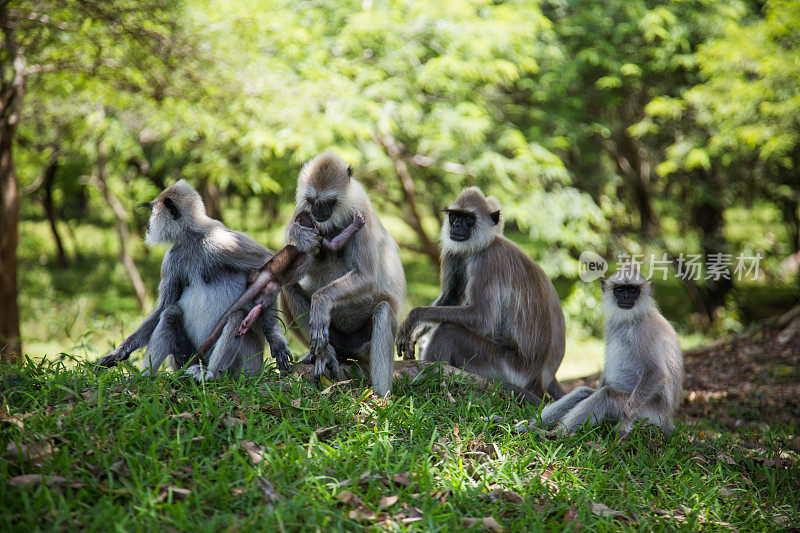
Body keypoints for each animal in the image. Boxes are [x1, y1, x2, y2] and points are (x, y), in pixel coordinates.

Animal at [95, 181, 292, 380]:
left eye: (152, 212)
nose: (148, 225)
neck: (192, 238)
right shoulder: (171, 259)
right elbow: (164, 307)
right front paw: (118, 353)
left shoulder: (223, 241)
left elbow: (268, 269)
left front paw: (276, 341)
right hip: (188, 358)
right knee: (171, 313)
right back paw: (147, 377)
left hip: (247, 366)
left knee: (236, 316)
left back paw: (212, 374)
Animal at [280, 152, 406, 396]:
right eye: (313, 201)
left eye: (328, 202)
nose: (319, 213)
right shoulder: (303, 210)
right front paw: (297, 232)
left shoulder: (361, 208)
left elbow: (367, 277)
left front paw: (321, 301)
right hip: (335, 338)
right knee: (288, 285)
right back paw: (325, 353)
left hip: (362, 345)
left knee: (384, 311)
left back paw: (380, 396)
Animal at [396, 187, 564, 404]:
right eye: (454, 216)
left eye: (468, 219)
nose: (457, 225)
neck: (482, 245)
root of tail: (536, 379)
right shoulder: (454, 252)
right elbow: (451, 298)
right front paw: (414, 332)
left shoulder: (487, 263)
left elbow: (482, 318)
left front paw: (413, 317)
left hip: (502, 367)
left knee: (448, 331)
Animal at [520, 268, 684, 434]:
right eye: (620, 290)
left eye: (633, 290)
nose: (626, 297)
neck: (629, 320)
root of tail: (665, 419)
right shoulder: (611, 324)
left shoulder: (645, 330)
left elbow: (656, 372)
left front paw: (624, 423)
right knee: (583, 392)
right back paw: (529, 428)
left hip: (647, 412)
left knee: (605, 394)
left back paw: (555, 434)